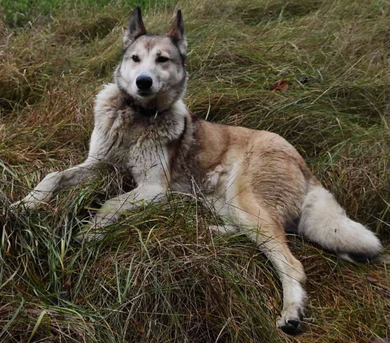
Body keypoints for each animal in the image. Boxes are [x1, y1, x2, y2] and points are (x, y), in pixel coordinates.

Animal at [12, 7, 384, 336]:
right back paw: (207, 230)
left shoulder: (152, 188)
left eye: (163, 60)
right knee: (255, 235)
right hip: (226, 203)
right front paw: (25, 205)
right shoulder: (99, 164)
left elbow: (109, 205)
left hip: (246, 201)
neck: (137, 117)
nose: (143, 82)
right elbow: (53, 177)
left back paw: (291, 313)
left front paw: (89, 234)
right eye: (135, 59)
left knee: (290, 262)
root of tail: (301, 161)